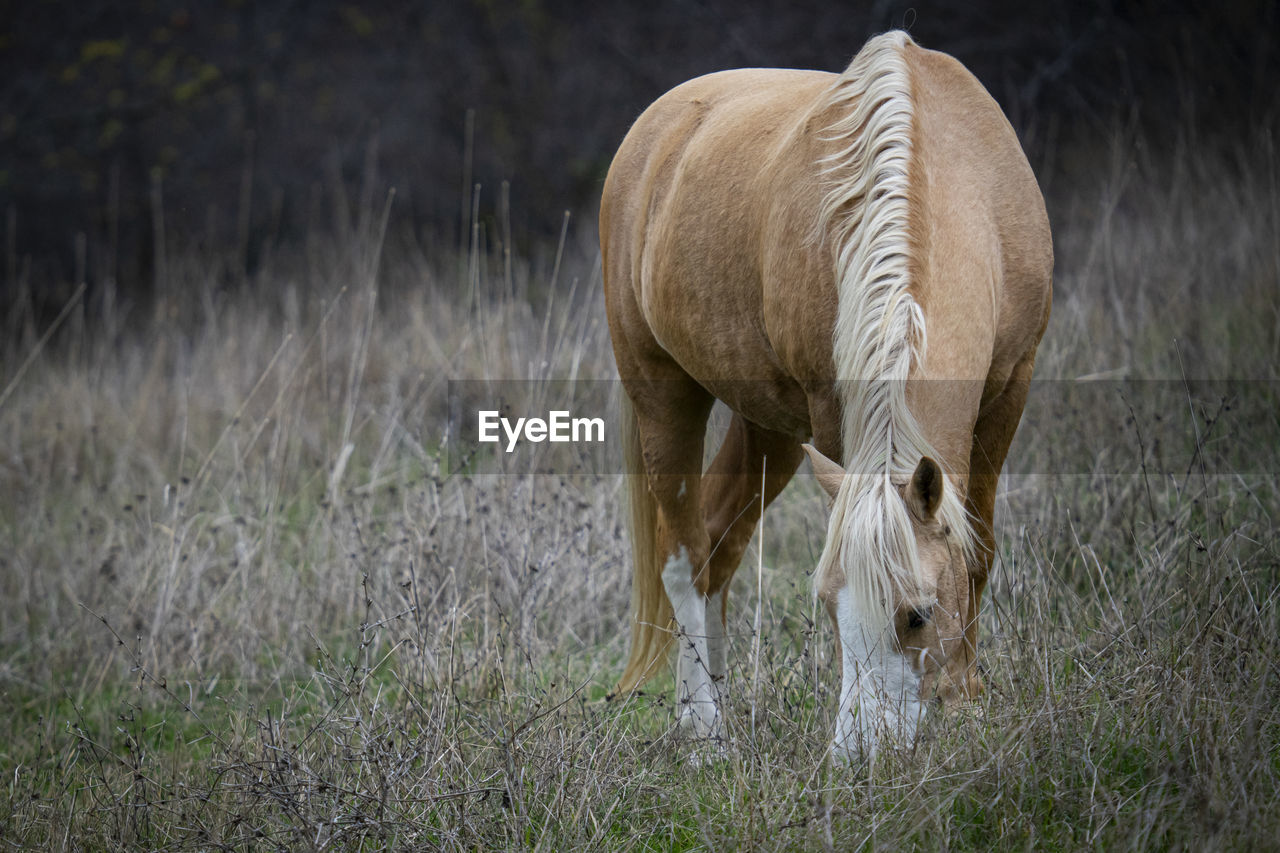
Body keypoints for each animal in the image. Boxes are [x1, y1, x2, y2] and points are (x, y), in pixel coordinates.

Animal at [599, 29, 1049, 753]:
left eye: (918, 614)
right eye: (830, 606)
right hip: (663, 392)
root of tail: (655, 130)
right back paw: (703, 728)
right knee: (684, 554)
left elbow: (976, 550)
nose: (862, 752)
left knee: (719, 542)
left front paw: (966, 702)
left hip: (769, 429)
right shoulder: (837, 415)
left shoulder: (1010, 388)